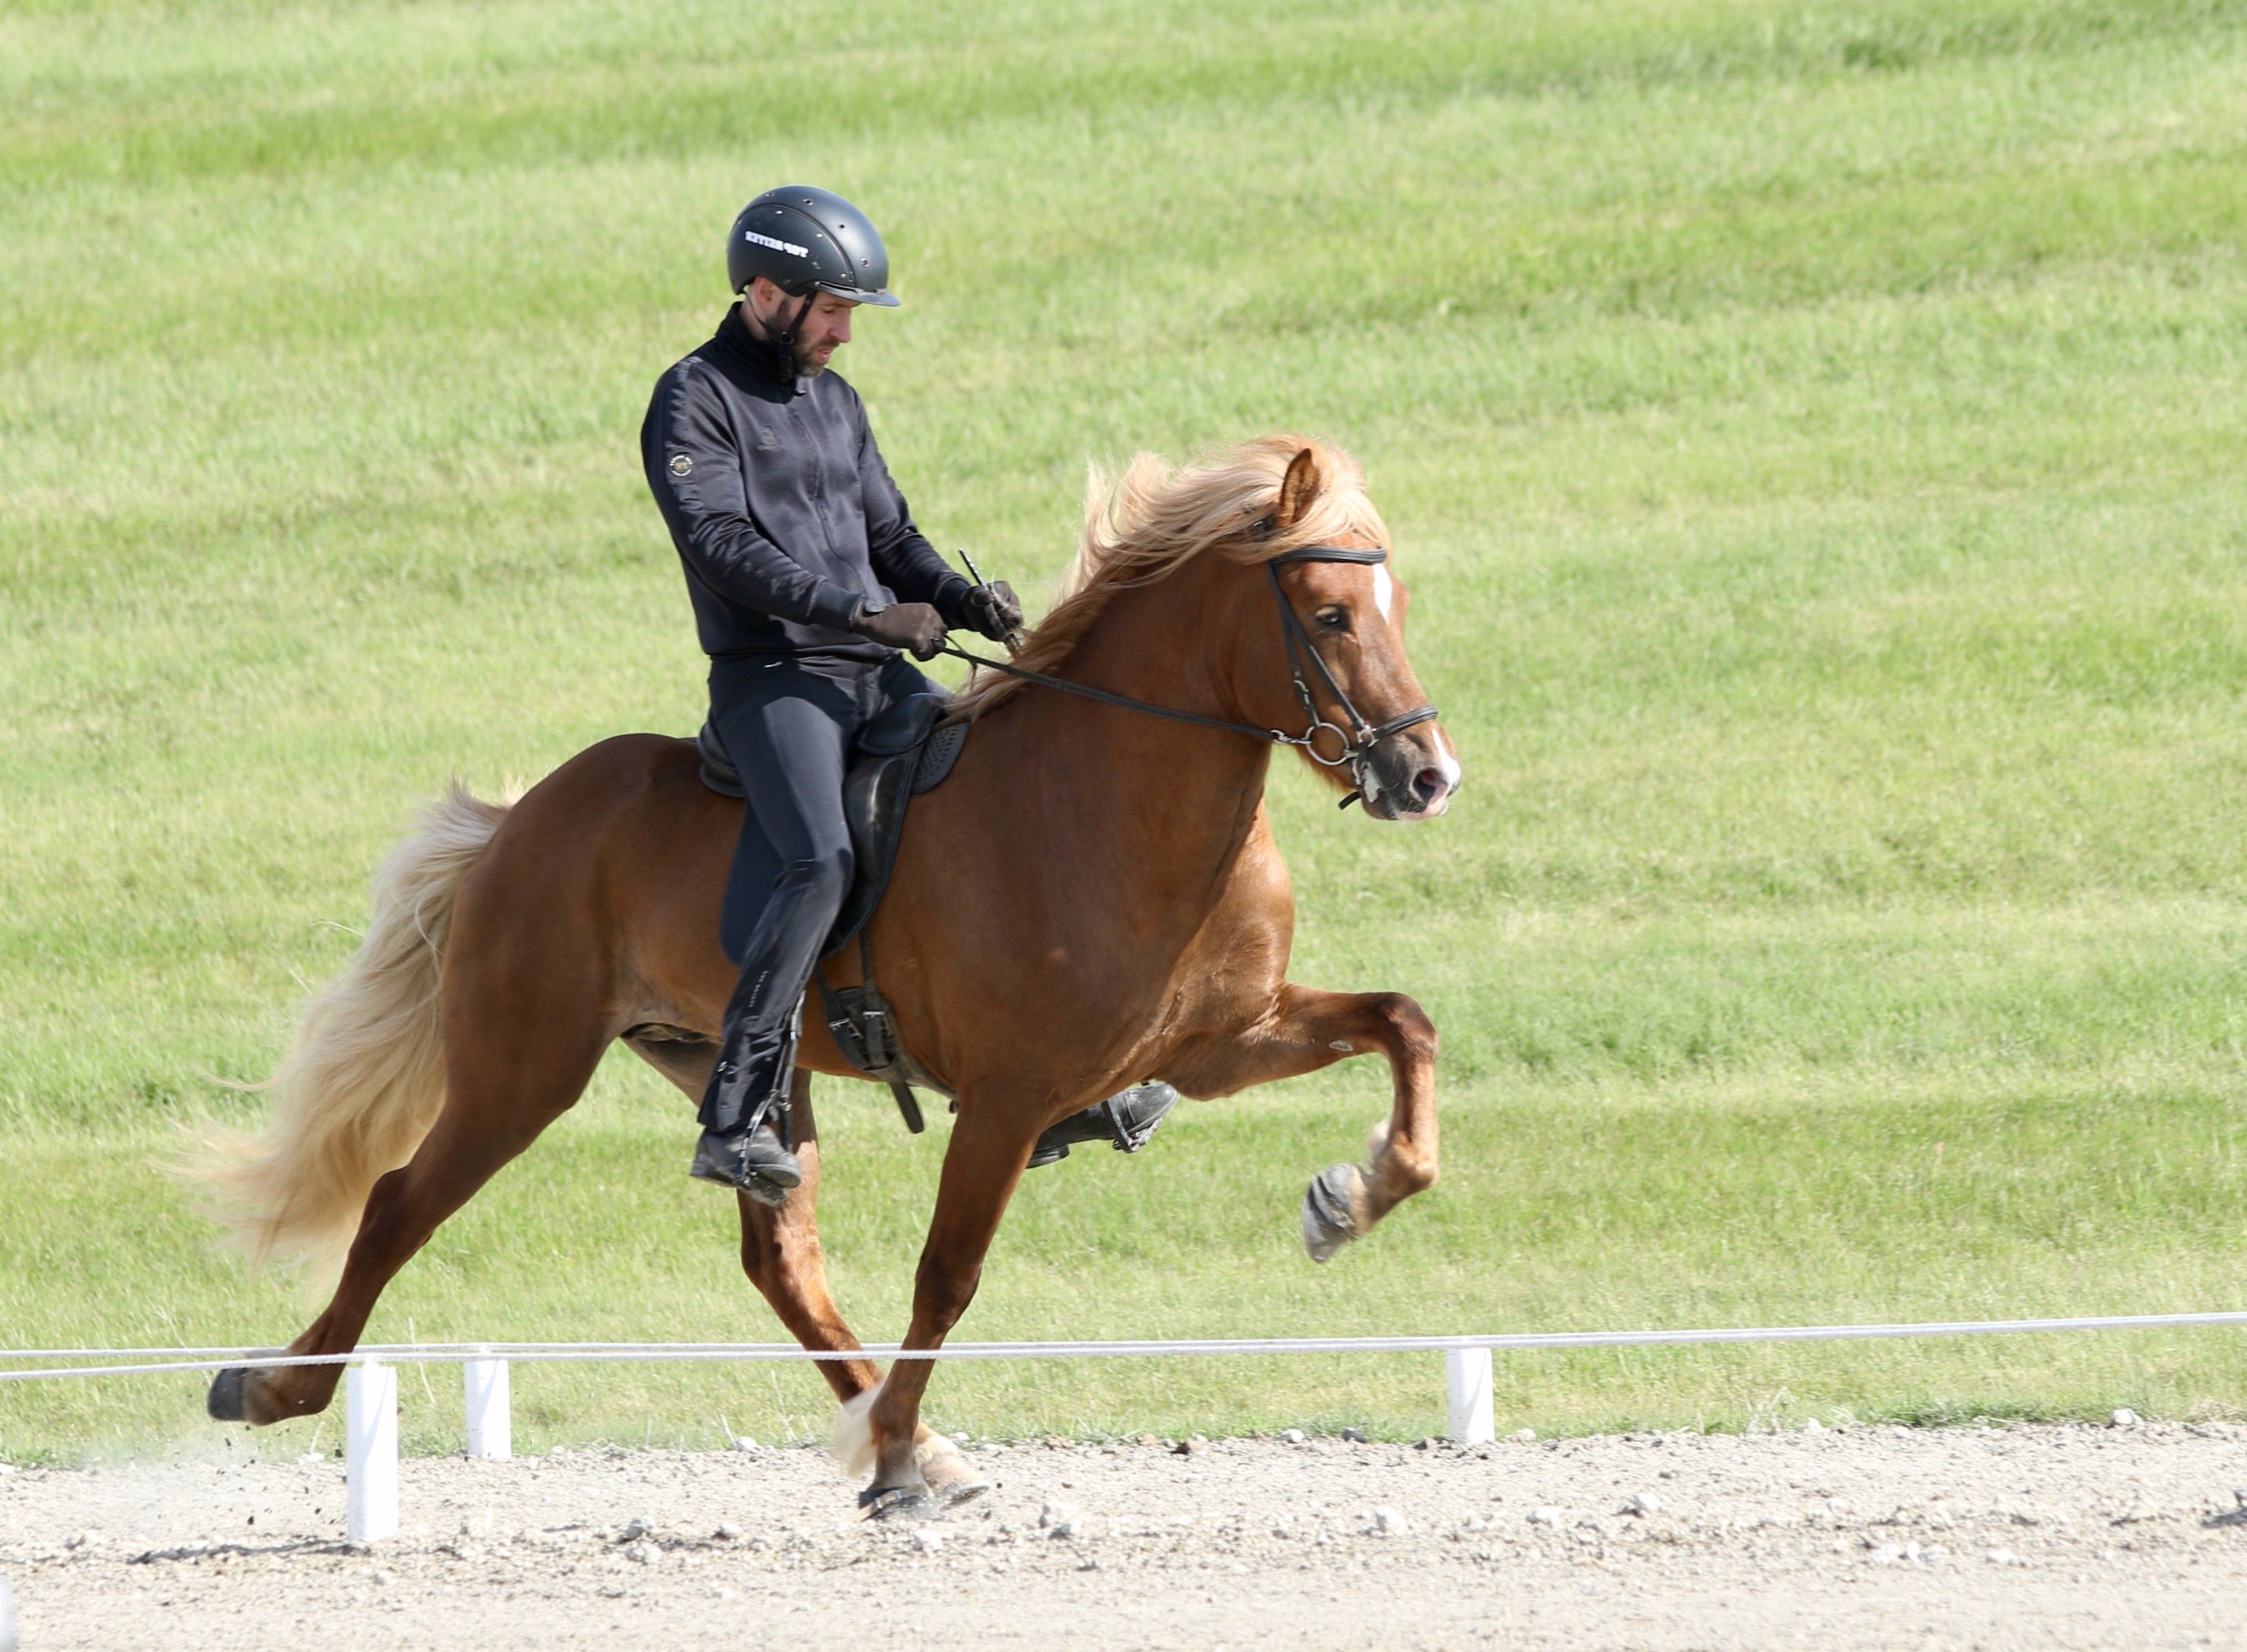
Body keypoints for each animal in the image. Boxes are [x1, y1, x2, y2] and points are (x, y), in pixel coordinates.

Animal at [202, 436, 1465, 1510]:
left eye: (1394, 607)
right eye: (1330, 613)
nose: (1427, 775)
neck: (1114, 800)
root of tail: (523, 820)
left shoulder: (1220, 1043)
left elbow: (1405, 1023)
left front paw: (1349, 1199)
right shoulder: (1008, 1098)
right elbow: (947, 1274)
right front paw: (896, 1452)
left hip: (746, 1073)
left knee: (781, 1260)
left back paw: (912, 1437)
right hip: (521, 1072)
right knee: (396, 1205)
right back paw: (271, 1384)